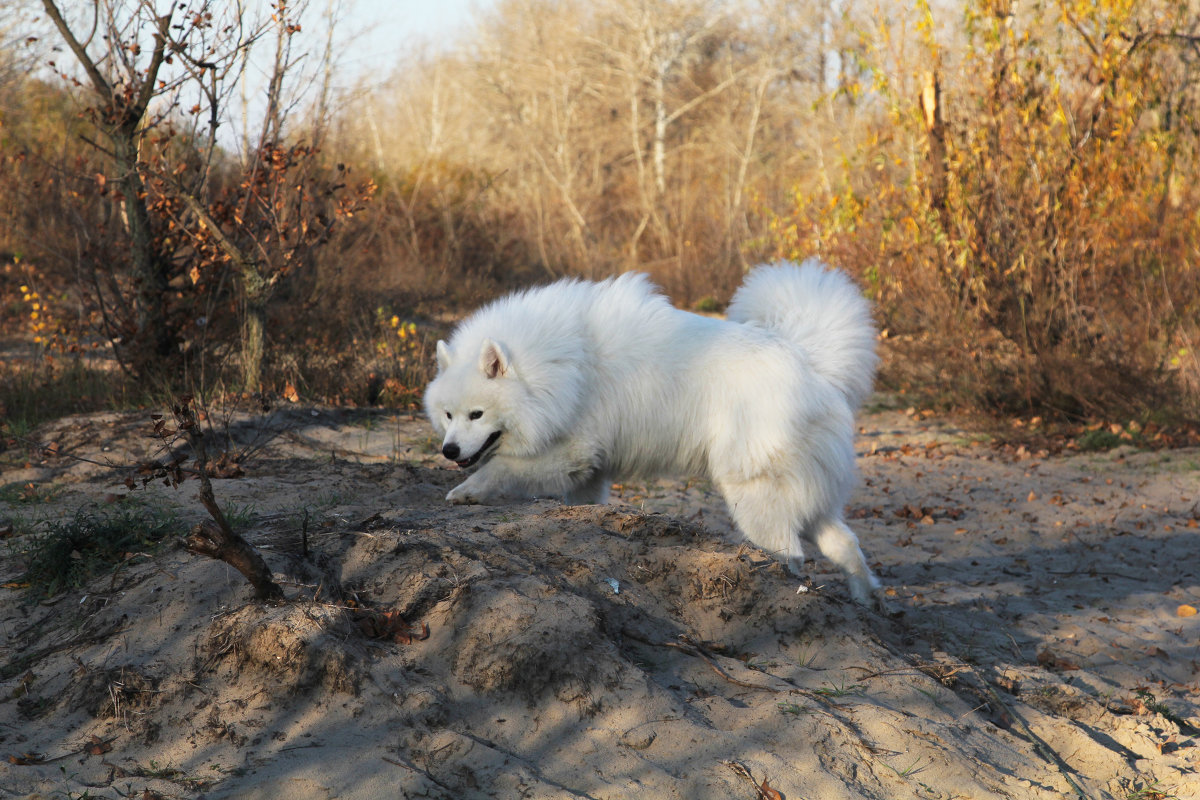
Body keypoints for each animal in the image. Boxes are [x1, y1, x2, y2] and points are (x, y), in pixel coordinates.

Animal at [424, 260, 883, 604]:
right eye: (447, 415)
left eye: (477, 415)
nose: (449, 451)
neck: (556, 367)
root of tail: (811, 363)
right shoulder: (588, 468)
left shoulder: (570, 450)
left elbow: (501, 466)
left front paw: (466, 491)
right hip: (810, 494)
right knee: (844, 543)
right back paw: (865, 599)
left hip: (754, 494)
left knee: (791, 553)